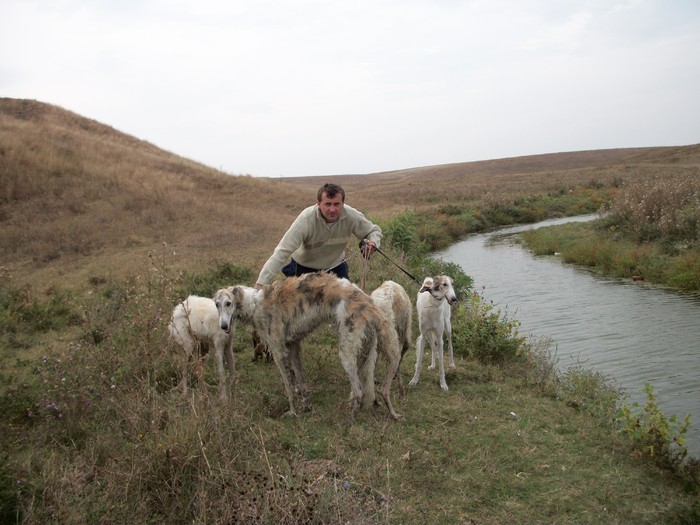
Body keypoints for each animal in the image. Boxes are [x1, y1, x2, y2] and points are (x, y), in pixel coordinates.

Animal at [213, 272, 402, 420]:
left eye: (228, 303)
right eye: (217, 304)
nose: (223, 326)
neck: (254, 304)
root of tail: (368, 303)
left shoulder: (279, 351)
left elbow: (289, 387)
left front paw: (292, 411)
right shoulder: (293, 346)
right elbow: (301, 383)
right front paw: (306, 407)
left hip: (347, 352)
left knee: (359, 391)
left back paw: (350, 420)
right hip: (367, 351)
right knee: (375, 388)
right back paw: (389, 411)